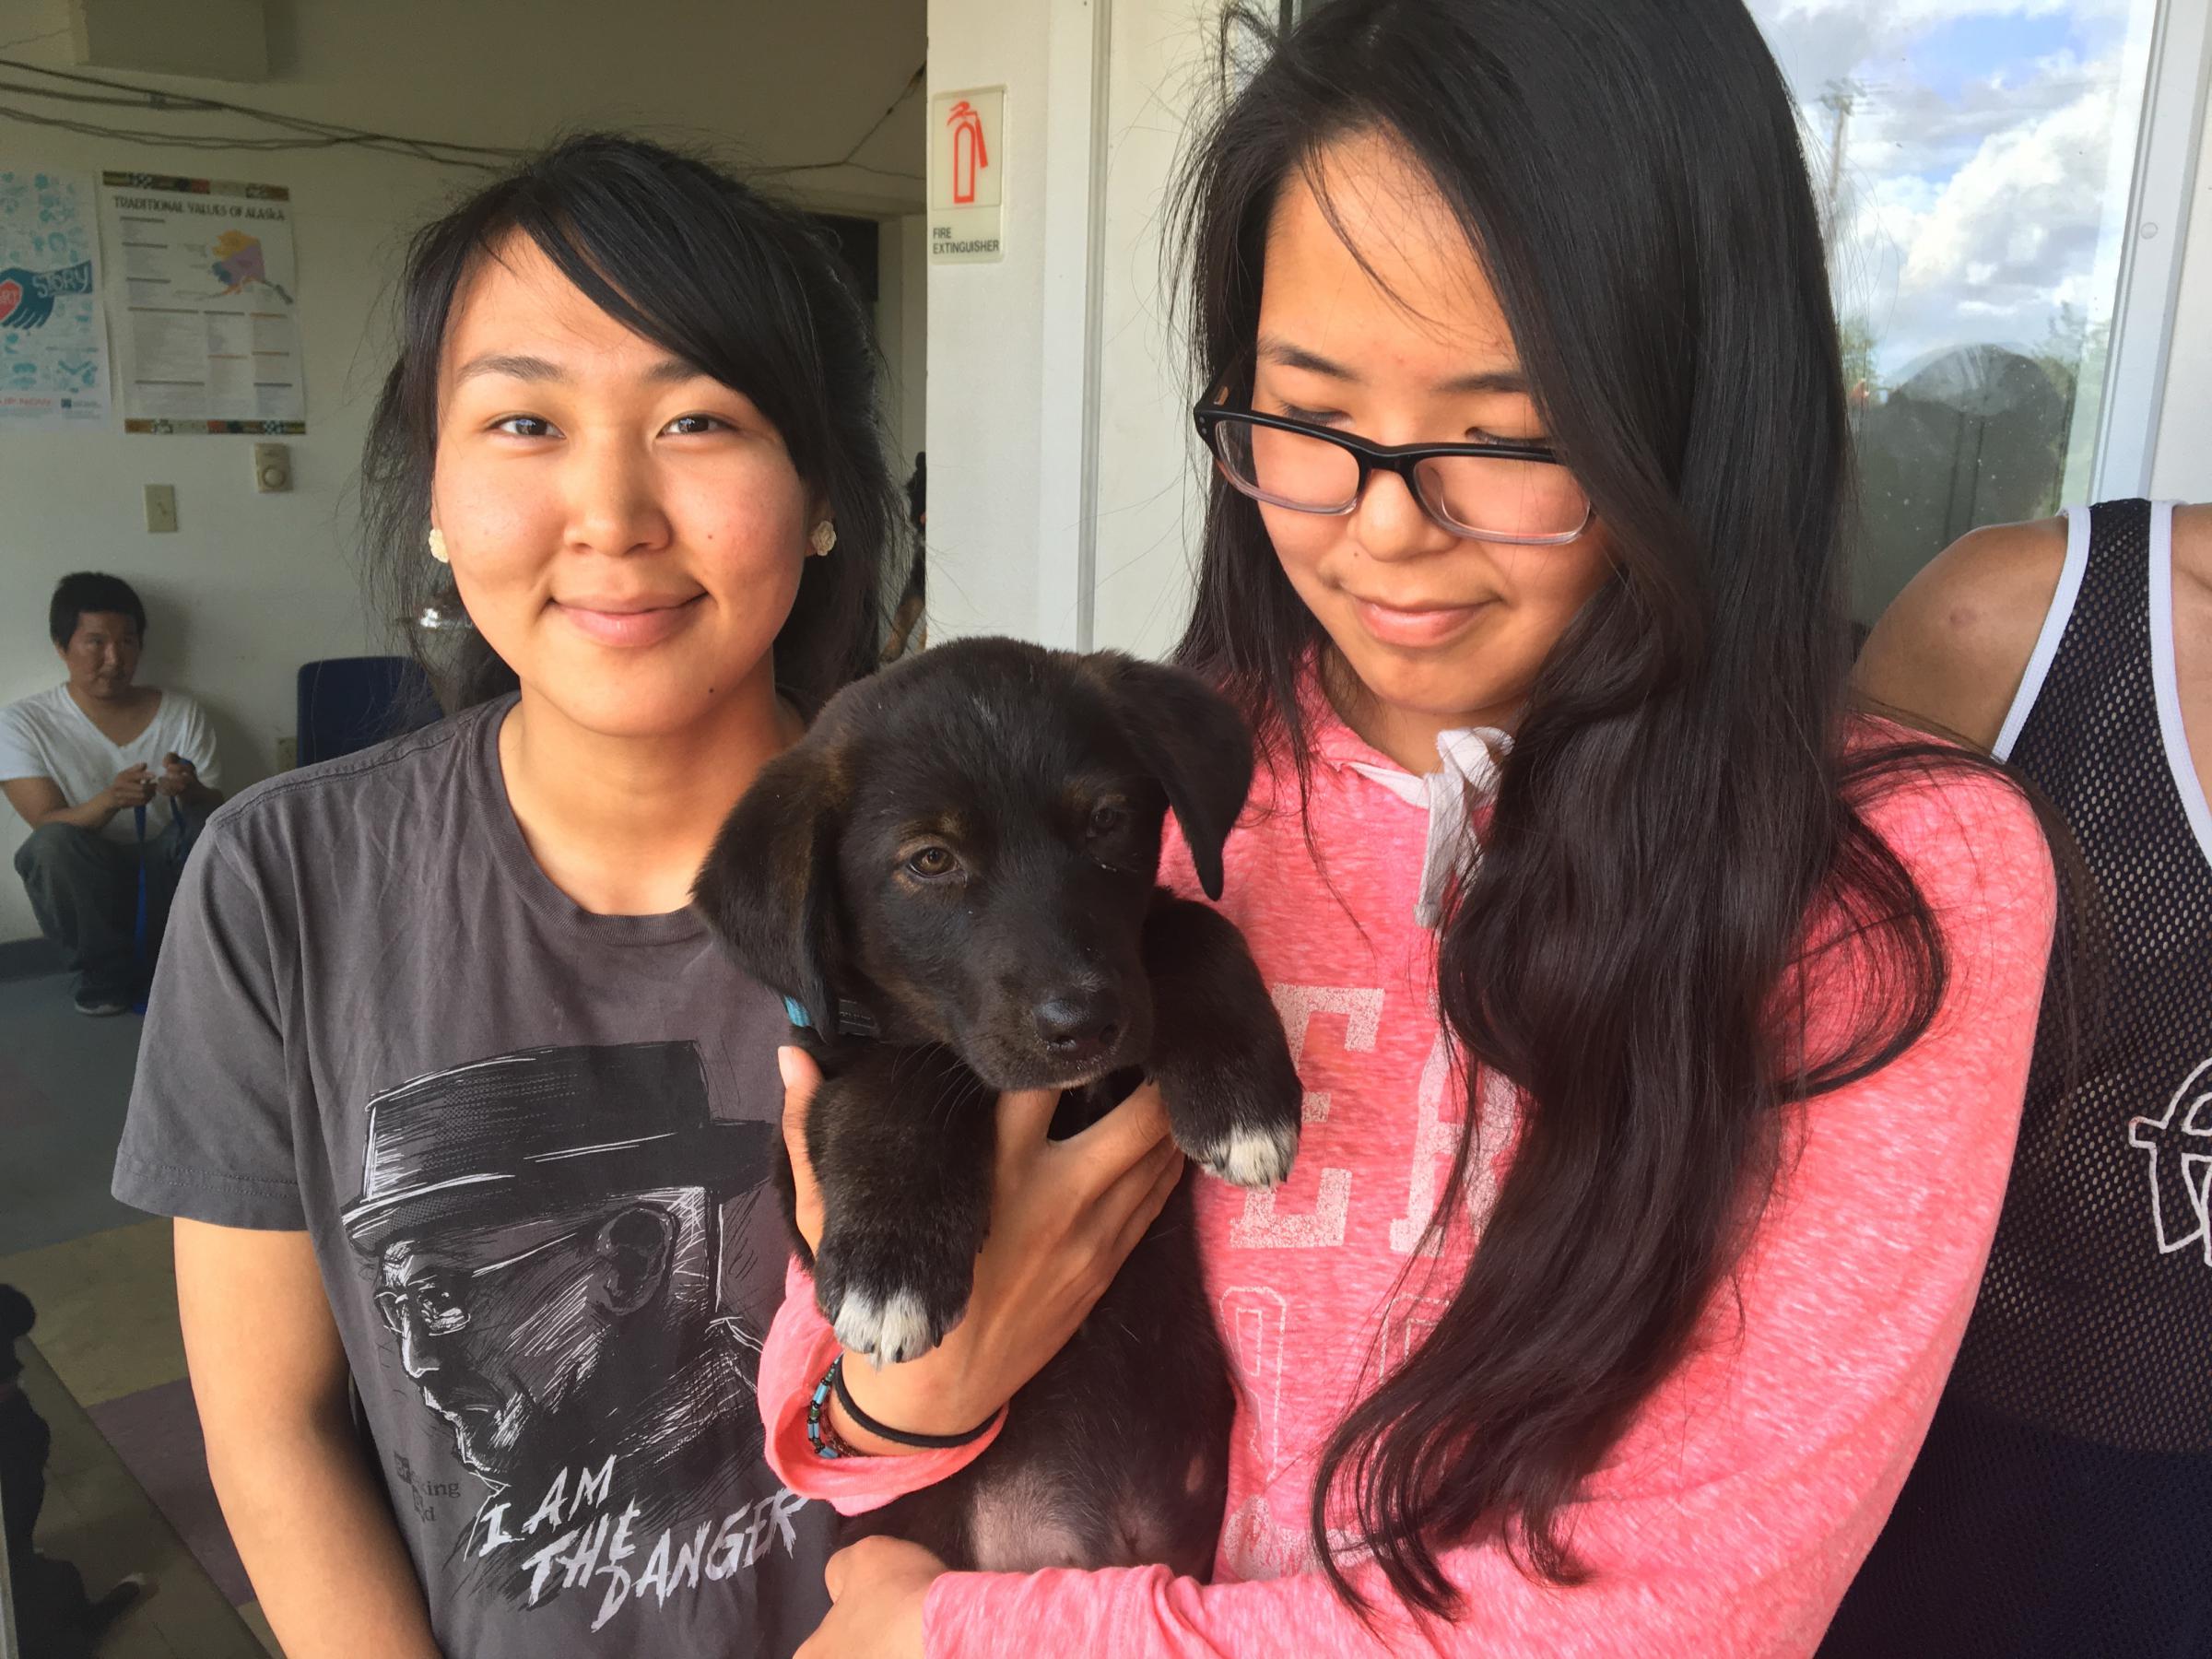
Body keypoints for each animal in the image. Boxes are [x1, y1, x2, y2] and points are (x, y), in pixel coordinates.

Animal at [699, 641, 1300, 1583]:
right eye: (930, 861)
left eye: (1107, 821)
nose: (1082, 1024)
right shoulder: (809, 1128)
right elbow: (900, 1078)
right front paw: (892, 1271)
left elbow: (1189, 924)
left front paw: (1243, 1098)